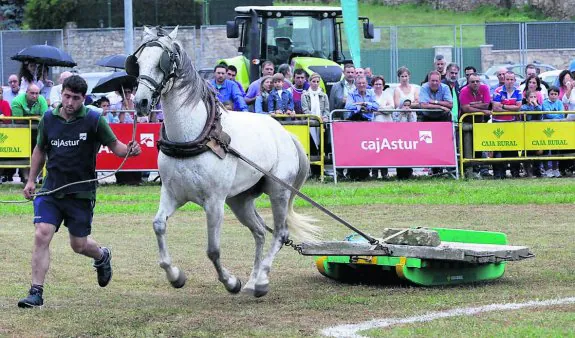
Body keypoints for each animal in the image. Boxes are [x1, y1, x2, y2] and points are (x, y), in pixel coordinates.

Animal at [129, 26, 320, 296]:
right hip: (239, 200)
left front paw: (231, 282)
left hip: (278, 192)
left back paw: (261, 280)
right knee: (259, 231)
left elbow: (213, 250)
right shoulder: (172, 194)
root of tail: (286, 134)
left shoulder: (214, 202)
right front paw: (175, 275)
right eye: (138, 61)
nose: (141, 102)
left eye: (162, 61)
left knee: (280, 233)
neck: (194, 134)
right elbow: (158, 225)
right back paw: (252, 280)